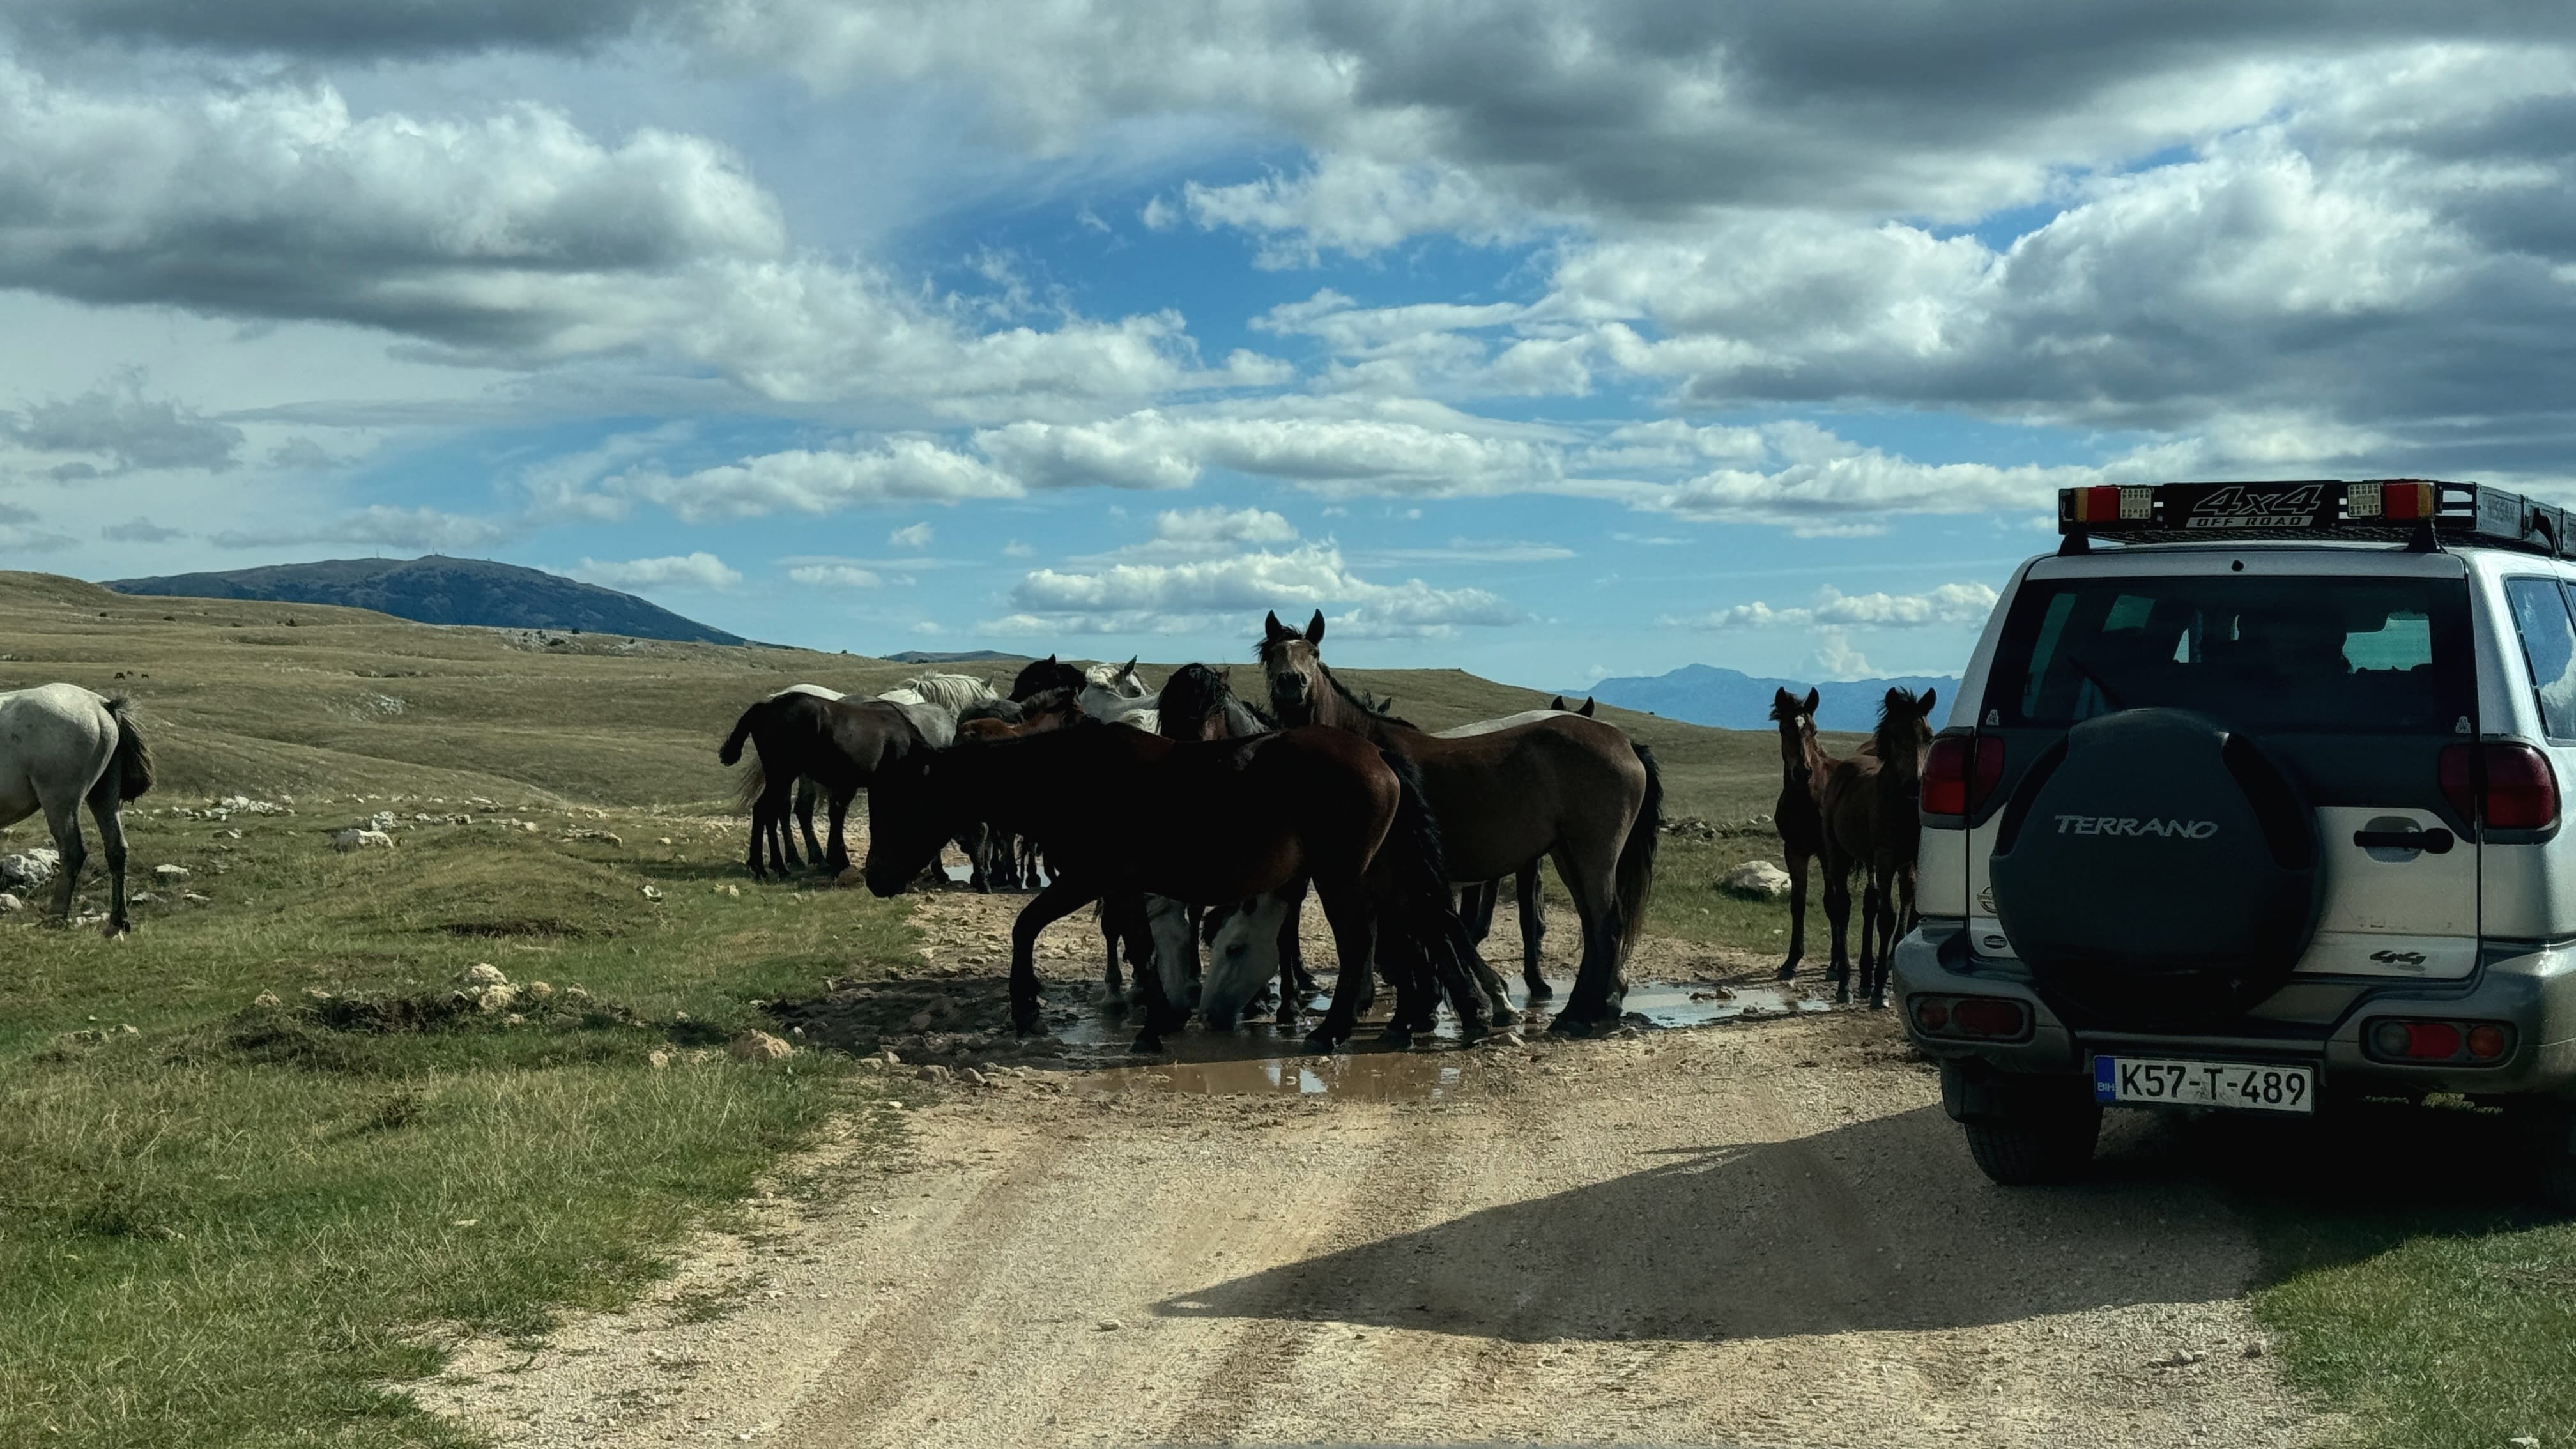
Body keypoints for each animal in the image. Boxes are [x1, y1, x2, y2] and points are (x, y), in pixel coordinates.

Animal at [0, 684, 154, 934]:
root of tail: (101, 706)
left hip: (60, 800)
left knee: (73, 851)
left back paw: (55, 915)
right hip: (104, 794)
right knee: (117, 850)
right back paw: (118, 920)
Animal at [860, 719, 1490, 1051]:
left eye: (899, 803)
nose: (875, 879)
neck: (1072, 780)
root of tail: (1376, 751)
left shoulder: (1090, 879)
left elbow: (1026, 927)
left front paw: (1028, 1010)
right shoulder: (1119, 887)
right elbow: (1138, 947)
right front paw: (1160, 1020)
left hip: (1342, 878)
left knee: (1363, 941)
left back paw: (1335, 1029)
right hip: (1382, 873)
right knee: (1413, 930)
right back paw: (1409, 1022)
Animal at [1258, 610, 1660, 1034]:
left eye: (1314, 653)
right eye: (1271, 656)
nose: (1291, 684)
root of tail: (1625, 743)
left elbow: (1414, 936)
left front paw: (1430, 1009)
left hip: (1593, 854)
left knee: (1606, 923)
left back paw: (1580, 1014)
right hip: (1570, 856)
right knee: (1593, 926)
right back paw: (1582, 1009)